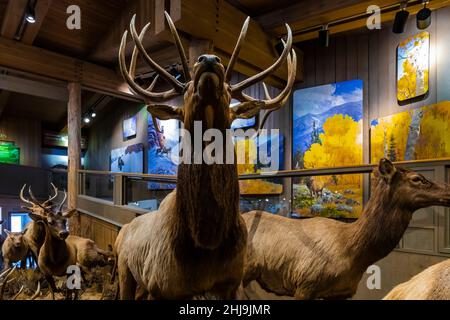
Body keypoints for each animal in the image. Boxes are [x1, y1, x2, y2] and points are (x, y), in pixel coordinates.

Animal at [112, 11, 296, 298]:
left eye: (230, 91)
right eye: (186, 88)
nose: (209, 59)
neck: (207, 241)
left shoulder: (231, 282)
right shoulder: (161, 285)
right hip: (125, 270)